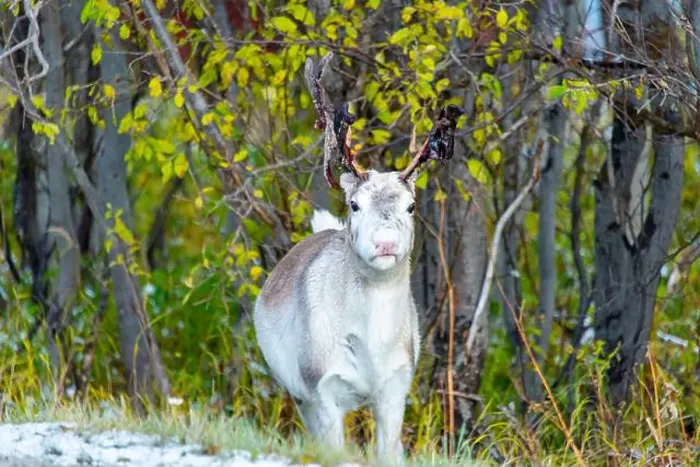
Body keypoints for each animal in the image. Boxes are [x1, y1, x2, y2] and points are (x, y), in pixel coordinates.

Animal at [253, 53, 464, 463]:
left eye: (411, 206)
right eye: (354, 204)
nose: (385, 243)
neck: (372, 347)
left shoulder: (396, 388)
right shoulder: (321, 386)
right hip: (298, 393)